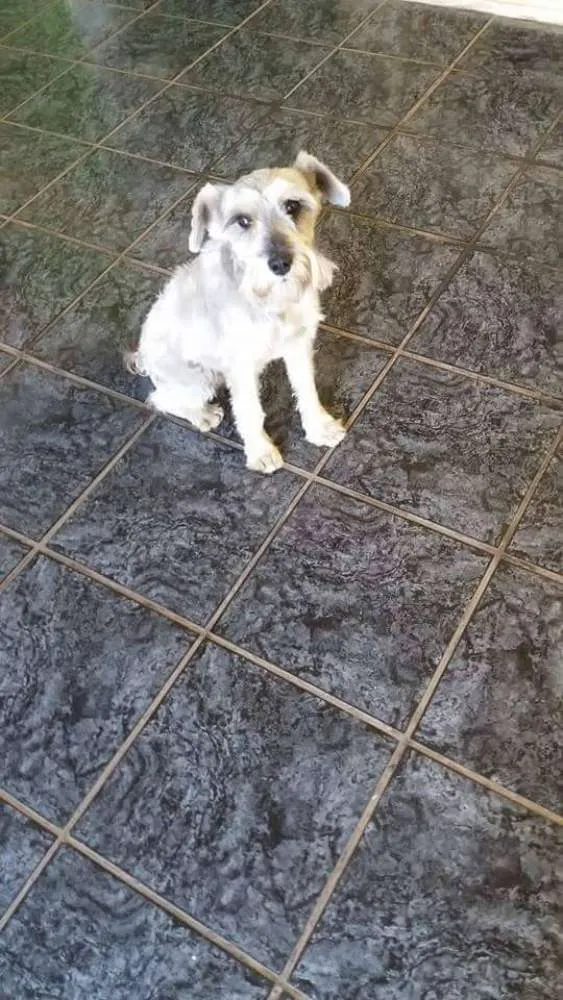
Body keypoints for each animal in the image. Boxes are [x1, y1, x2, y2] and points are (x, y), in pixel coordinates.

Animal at [128, 151, 350, 473]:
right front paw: (261, 451)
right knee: (162, 399)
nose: (280, 263)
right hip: (195, 380)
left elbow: (306, 388)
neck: (270, 304)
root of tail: (142, 356)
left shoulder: (298, 345)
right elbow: (249, 410)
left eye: (292, 206)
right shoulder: (240, 367)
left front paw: (320, 427)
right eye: (242, 221)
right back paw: (202, 415)